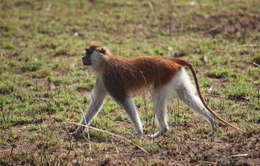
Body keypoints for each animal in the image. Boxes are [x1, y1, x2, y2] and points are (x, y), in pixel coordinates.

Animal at [72, 45, 245, 139]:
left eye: (88, 52)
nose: (82, 57)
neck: (105, 62)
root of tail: (170, 60)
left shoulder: (110, 78)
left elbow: (126, 101)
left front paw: (139, 132)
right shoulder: (102, 79)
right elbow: (96, 103)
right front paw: (78, 130)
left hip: (164, 77)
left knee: (157, 97)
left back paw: (162, 131)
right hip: (176, 76)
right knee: (186, 95)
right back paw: (211, 121)